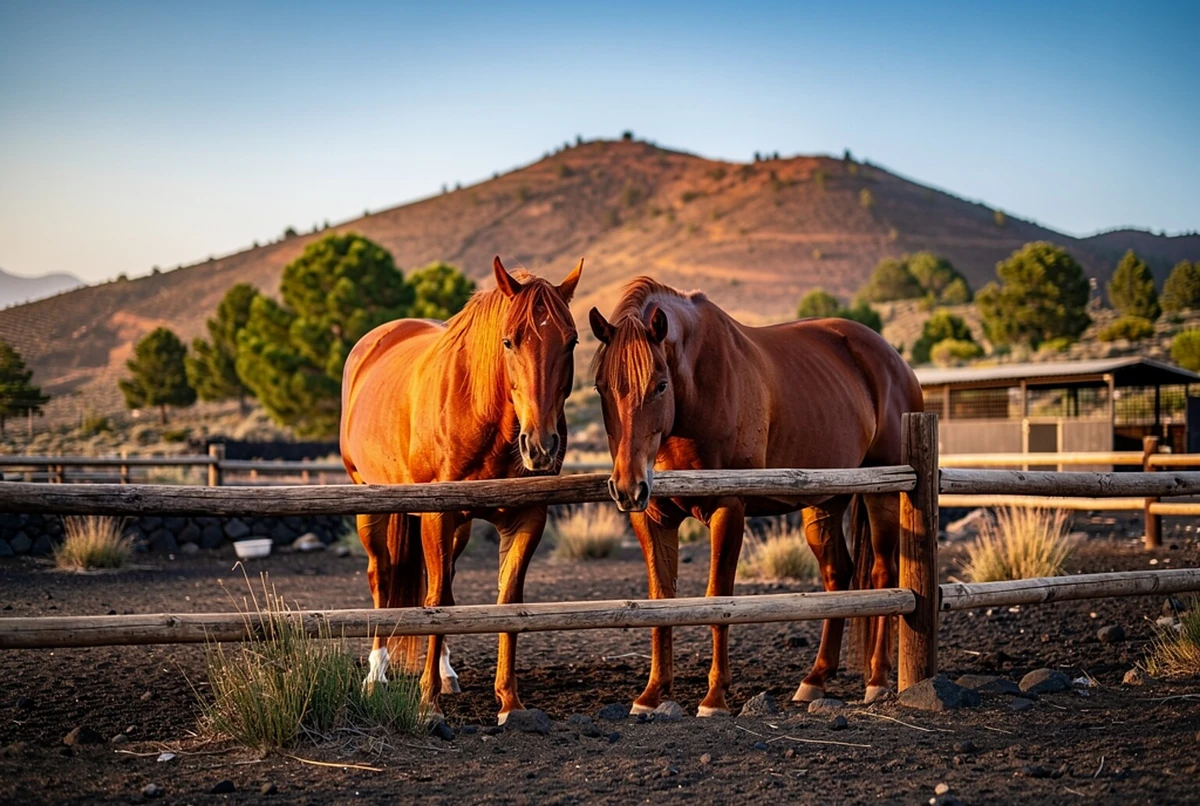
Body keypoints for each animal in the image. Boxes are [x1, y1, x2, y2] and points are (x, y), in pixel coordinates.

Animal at [340, 256, 583, 723]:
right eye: (509, 341)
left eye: (572, 342)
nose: (541, 446)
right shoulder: (438, 513)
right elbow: (434, 601)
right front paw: (427, 703)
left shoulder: (527, 518)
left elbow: (506, 602)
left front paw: (509, 702)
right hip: (369, 502)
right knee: (382, 577)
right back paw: (376, 674)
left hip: (460, 528)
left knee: (447, 583)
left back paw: (446, 672)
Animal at [588, 277, 922, 715]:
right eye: (601, 387)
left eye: (660, 385)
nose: (627, 487)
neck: (698, 387)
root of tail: (896, 363)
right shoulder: (652, 516)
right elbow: (661, 599)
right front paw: (652, 694)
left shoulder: (728, 509)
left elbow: (718, 599)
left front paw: (714, 698)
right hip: (824, 503)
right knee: (838, 575)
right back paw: (815, 680)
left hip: (882, 495)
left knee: (883, 574)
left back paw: (877, 681)